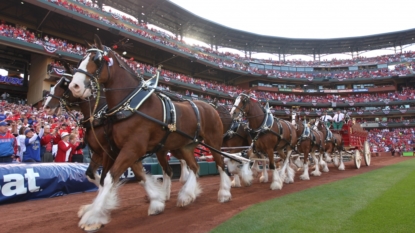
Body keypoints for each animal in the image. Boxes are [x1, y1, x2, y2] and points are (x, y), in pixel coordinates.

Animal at [68, 35, 231, 232]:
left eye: (96, 60)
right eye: (80, 60)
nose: (75, 86)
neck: (131, 105)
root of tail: (211, 106)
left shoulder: (132, 148)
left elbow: (109, 179)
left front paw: (92, 217)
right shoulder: (120, 149)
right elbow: (136, 176)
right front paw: (156, 202)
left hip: (213, 142)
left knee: (221, 164)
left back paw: (224, 193)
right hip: (183, 146)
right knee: (194, 167)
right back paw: (187, 195)